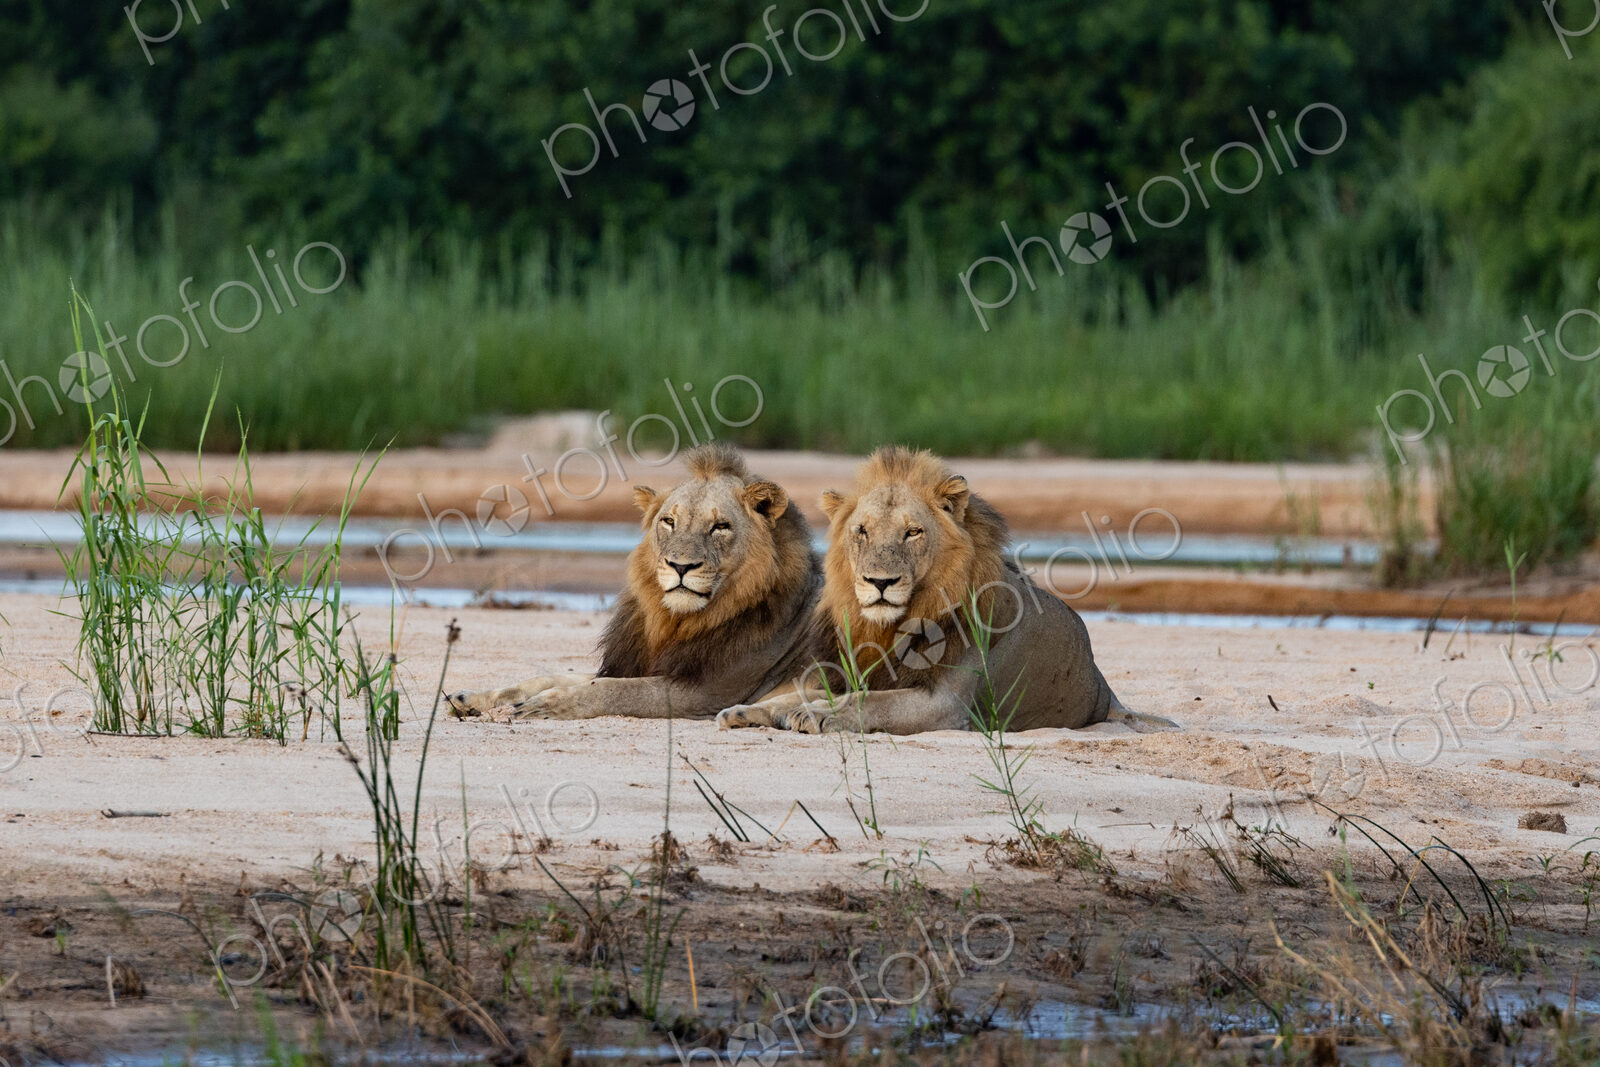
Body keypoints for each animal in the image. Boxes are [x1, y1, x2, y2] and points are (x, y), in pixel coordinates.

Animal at [444, 443, 821, 721]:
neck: (673, 620)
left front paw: (547, 704)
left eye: (720, 527)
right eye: (669, 521)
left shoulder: (707, 691)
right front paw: (474, 697)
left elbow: (611, 689)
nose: (680, 566)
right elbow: (549, 676)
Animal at [715, 446, 1177, 735]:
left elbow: (869, 702)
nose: (879, 582)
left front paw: (813, 716)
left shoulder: (945, 704)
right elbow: (806, 693)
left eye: (913, 532)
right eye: (861, 531)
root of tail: (1105, 689)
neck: (893, 626)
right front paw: (748, 710)